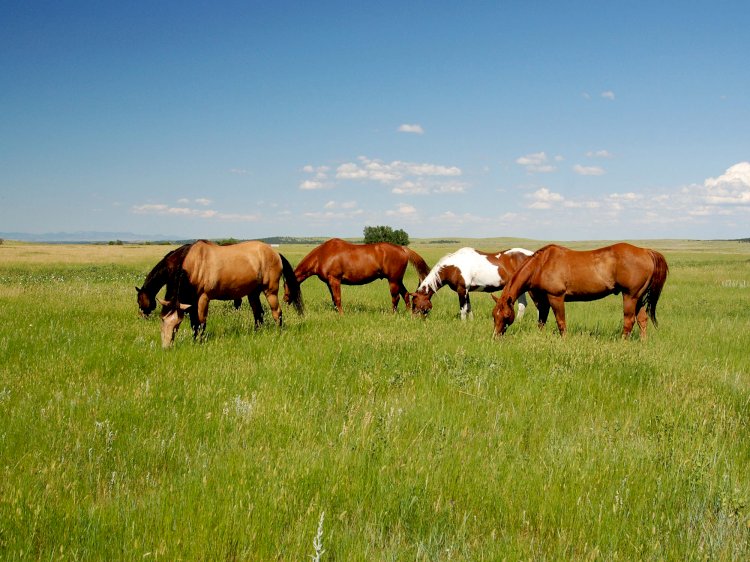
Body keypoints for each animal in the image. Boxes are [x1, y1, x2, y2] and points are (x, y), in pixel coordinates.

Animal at [160, 237, 304, 344]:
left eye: (177, 323)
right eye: (162, 319)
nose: (166, 346)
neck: (197, 263)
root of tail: (275, 253)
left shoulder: (203, 298)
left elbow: (201, 322)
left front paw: (199, 341)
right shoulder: (192, 301)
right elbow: (194, 322)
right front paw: (195, 340)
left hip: (270, 291)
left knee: (277, 312)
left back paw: (278, 332)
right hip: (253, 293)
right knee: (258, 313)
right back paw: (257, 333)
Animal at [286, 236, 432, 312]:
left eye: (285, 286)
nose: (285, 300)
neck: (322, 255)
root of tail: (402, 249)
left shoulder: (335, 280)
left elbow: (338, 298)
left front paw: (341, 315)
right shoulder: (329, 282)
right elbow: (334, 299)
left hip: (393, 280)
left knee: (395, 298)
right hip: (397, 280)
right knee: (405, 294)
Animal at [494, 241, 668, 336]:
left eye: (506, 315)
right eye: (493, 315)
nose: (495, 336)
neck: (541, 265)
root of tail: (646, 251)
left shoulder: (556, 297)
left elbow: (561, 323)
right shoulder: (543, 301)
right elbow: (541, 323)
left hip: (630, 296)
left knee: (629, 321)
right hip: (639, 297)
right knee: (642, 320)